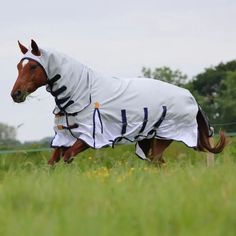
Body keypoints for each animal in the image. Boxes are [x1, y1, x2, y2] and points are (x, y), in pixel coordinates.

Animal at [11, 39, 227, 166]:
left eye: (32, 67)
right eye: (19, 66)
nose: (16, 94)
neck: (81, 93)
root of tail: (191, 98)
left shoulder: (88, 139)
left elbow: (67, 157)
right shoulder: (64, 138)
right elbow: (53, 162)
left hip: (163, 138)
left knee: (157, 162)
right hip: (149, 139)